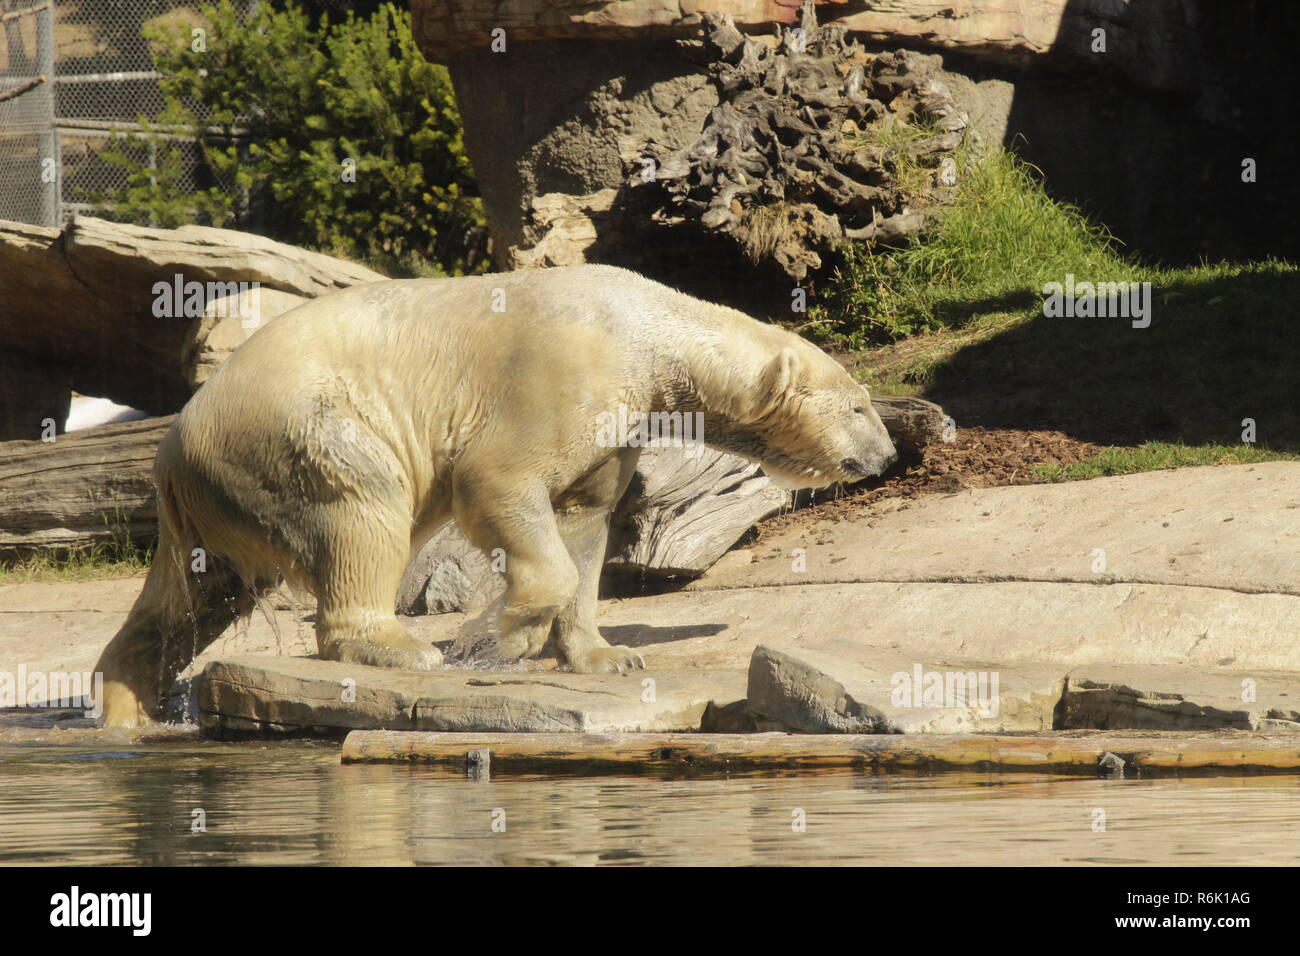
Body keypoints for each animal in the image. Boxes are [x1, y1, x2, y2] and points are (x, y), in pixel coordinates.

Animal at [96, 261, 899, 723]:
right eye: (861, 406)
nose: (887, 453)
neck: (644, 327)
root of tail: (172, 440)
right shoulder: (563, 373)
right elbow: (501, 483)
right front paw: (492, 638)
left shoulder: (619, 421)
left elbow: (584, 520)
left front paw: (607, 657)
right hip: (297, 428)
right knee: (362, 511)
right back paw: (399, 646)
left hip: (219, 491)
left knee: (198, 593)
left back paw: (128, 699)